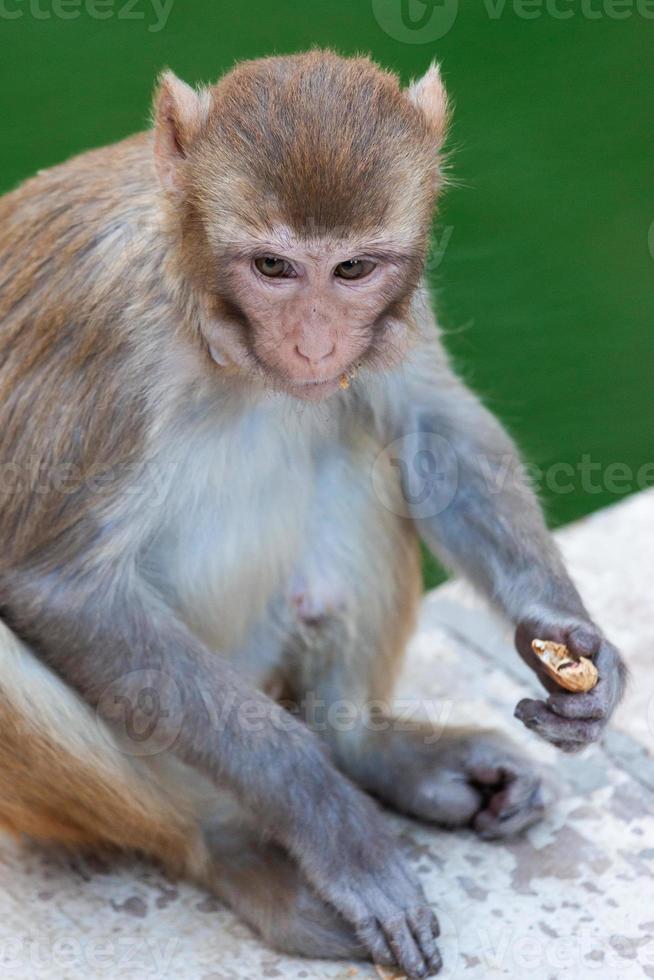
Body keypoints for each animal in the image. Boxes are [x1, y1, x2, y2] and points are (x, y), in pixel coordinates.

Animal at [0, 55, 628, 980]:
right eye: (272, 266)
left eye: (354, 271)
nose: (315, 344)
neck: (199, 304)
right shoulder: (107, 335)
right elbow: (61, 587)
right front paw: (333, 827)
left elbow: (433, 428)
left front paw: (570, 640)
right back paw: (236, 852)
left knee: (358, 441)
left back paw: (369, 748)